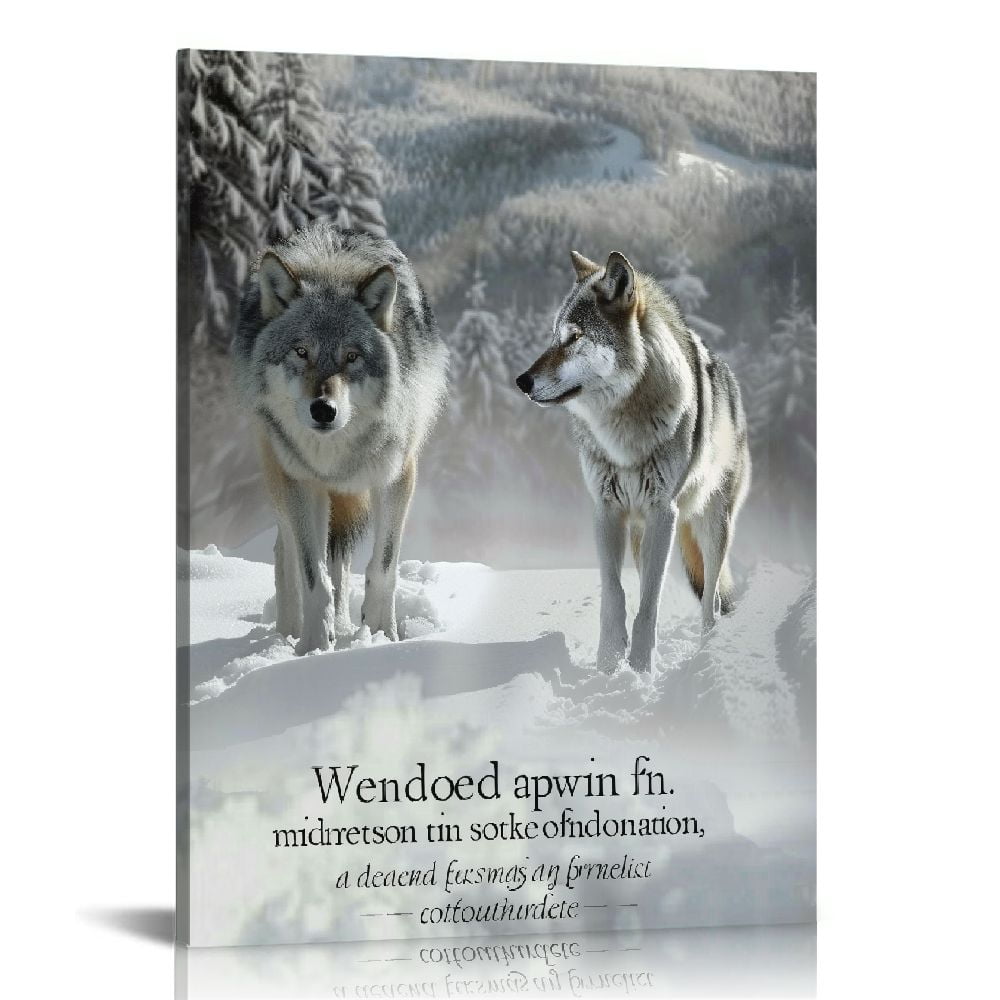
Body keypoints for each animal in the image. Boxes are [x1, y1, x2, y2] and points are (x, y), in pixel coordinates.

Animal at [232, 224, 448, 654]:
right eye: (301, 351)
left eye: (351, 357)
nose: (323, 410)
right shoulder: (302, 484)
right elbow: (312, 575)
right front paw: (314, 646)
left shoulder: (397, 479)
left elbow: (383, 567)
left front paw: (381, 635)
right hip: (281, 476)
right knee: (287, 553)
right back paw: (289, 632)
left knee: (341, 562)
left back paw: (349, 627)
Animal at [515, 249, 750, 672]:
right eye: (554, 336)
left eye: (574, 337)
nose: (521, 381)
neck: (623, 432)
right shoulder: (606, 510)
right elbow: (615, 595)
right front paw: (609, 664)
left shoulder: (662, 512)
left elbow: (650, 604)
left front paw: (641, 668)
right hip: (643, 532)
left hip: (711, 524)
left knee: (711, 598)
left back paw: (707, 648)